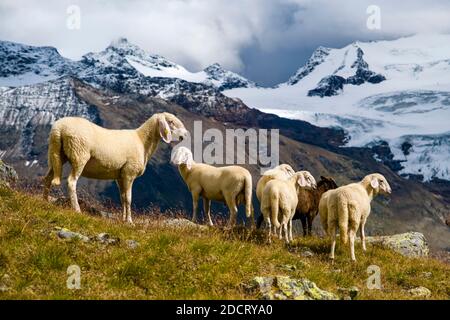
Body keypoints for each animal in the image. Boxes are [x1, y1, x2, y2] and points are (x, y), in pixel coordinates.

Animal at [43, 112, 187, 222]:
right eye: (171, 121)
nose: (184, 136)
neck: (142, 141)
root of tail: (59, 128)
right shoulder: (129, 173)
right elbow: (128, 199)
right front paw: (130, 221)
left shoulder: (120, 176)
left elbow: (122, 198)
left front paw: (123, 220)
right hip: (79, 154)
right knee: (71, 182)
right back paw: (77, 210)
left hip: (55, 154)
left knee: (47, 178)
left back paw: (45, 201)